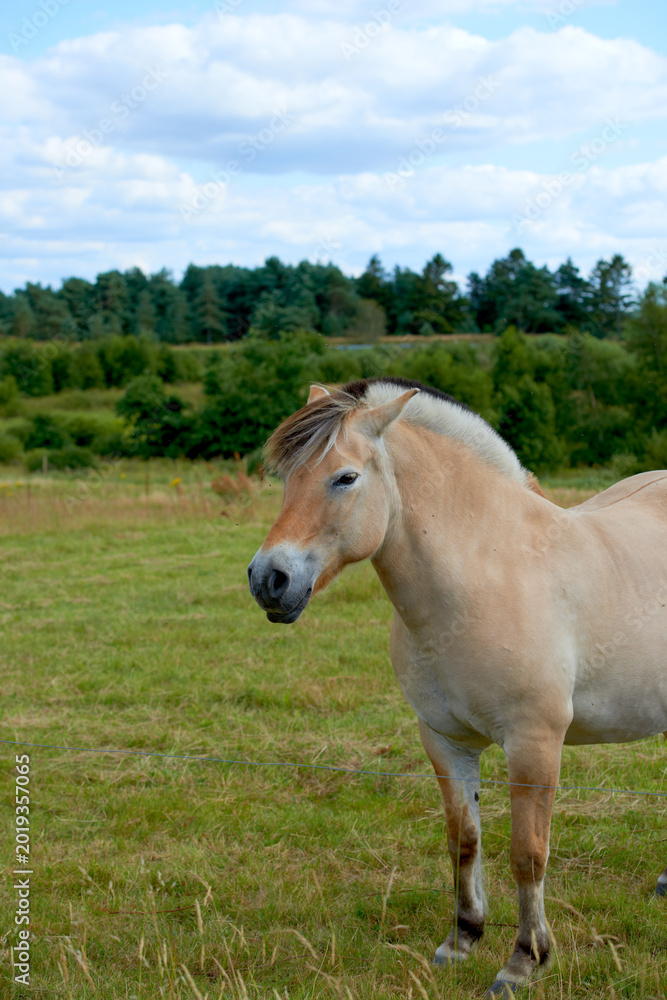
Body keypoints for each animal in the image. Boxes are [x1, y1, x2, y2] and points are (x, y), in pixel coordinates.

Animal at [247, 376, 667, 997]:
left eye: (345, 477)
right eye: (286, 478)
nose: (269, 579)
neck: (485, 575)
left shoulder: (534, 743)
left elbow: (528, 854)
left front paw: (523, 961)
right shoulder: (444, 740)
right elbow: (463, 838)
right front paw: (462, 939)